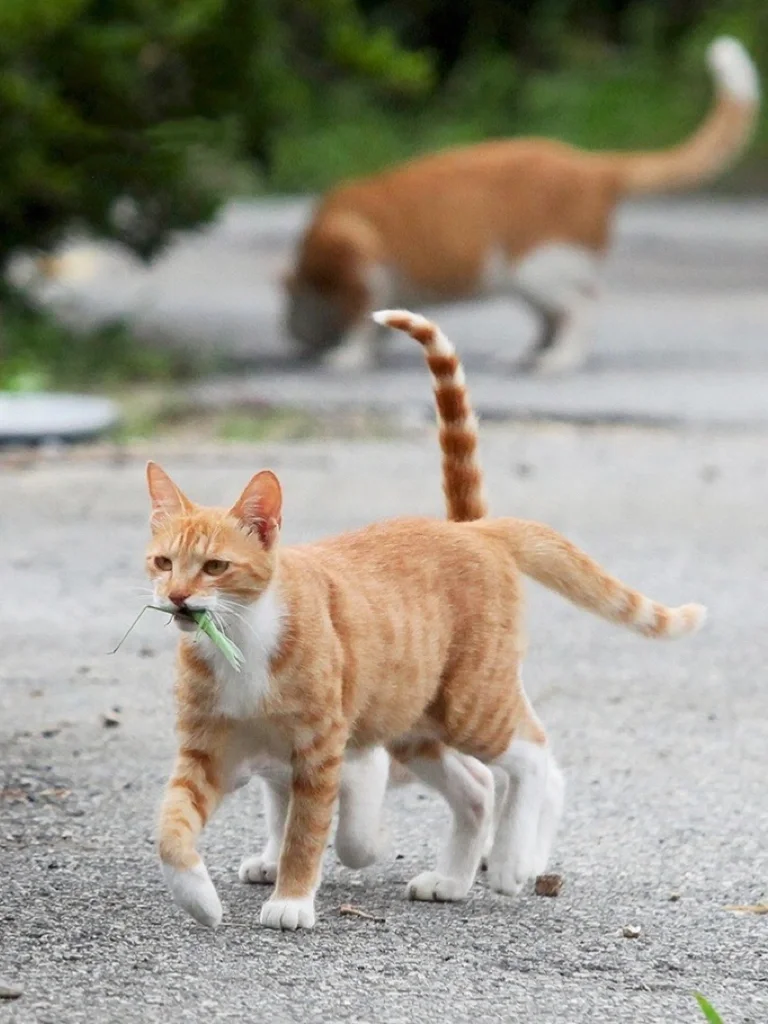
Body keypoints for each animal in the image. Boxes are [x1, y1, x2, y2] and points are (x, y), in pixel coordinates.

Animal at [147, 307, 708, 933]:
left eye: (215, 567)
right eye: (164, 562)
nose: (176, 596)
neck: (241, 642)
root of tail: (475, 530)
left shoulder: (326, 748)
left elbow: (313, 830)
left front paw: (293, 897)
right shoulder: (207, 752)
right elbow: (173, 826)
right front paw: (200, 897)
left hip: (470, 703)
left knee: (533, 753)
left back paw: (511, 861)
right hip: (418, 722)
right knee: (478, 789)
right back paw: (453, 881)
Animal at [286, 38, 761, 380]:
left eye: (296, 306)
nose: (292, 335)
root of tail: (594, 165)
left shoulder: (364, 272)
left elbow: (361, 324)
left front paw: (349, 356)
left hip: (538, 269)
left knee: (581, 308)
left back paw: (560, 361)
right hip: (529, 281)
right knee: (554, 318)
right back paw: (528, 354)